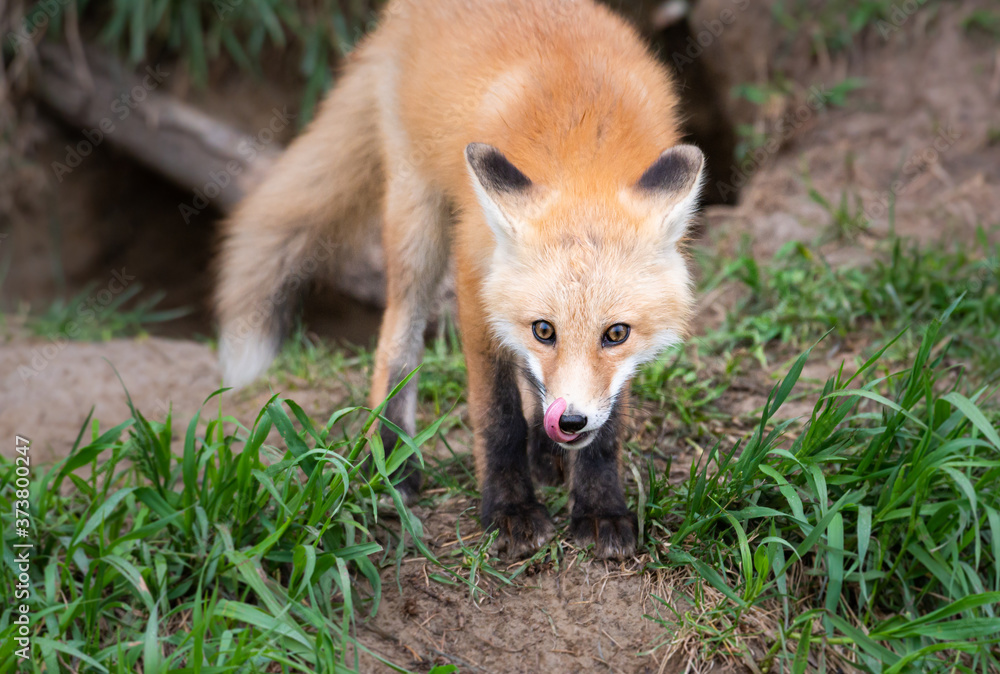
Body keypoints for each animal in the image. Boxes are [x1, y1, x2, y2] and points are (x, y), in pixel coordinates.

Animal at [215, 0, 704, 559]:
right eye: (545, 330)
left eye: (616, 334)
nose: (569, 421)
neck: (583, 151)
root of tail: (400, 15)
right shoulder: (475, 283)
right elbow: (498, 416)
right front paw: (510, 509)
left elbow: (607, 428)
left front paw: (600, 507)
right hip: (417, 222)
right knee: (397, 340)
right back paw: (392, 455)